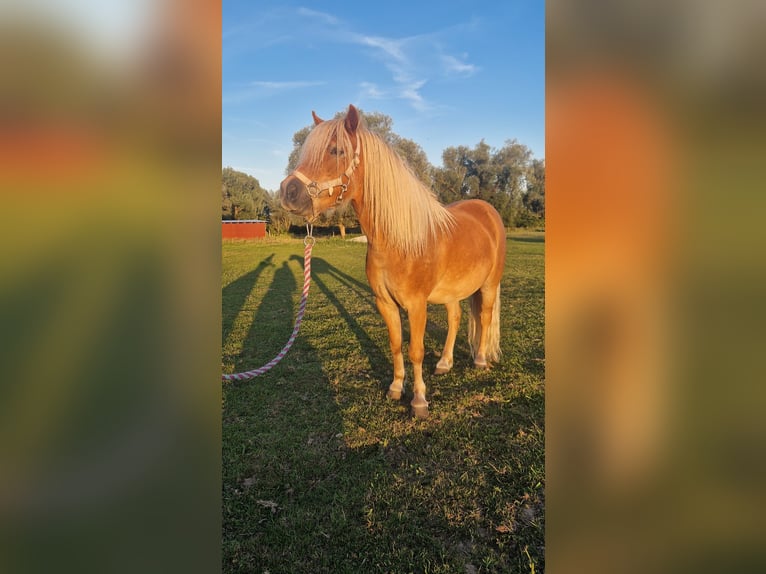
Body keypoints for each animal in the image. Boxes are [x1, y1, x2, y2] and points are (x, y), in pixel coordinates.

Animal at [280, 104, 508, 418]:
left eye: (337, 151)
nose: (288, 192)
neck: (398, 242)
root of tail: (488, 210)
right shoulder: (385, 303)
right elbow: (396, 345)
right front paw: (396, 388)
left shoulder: (416, 305)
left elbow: (416, 351)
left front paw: (419, 401)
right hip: (451, 291)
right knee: (455, 318)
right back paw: (444, 363)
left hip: (489, 284)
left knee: (484, 318)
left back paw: (481, 360)